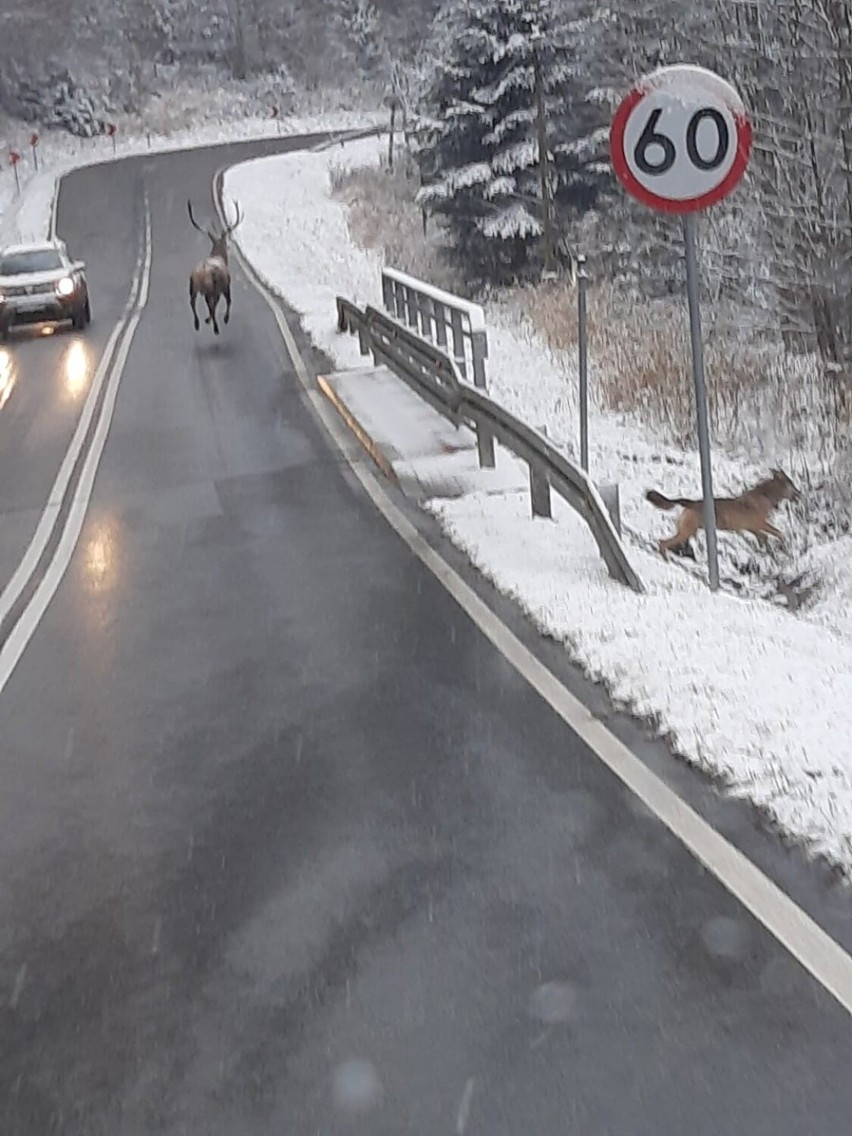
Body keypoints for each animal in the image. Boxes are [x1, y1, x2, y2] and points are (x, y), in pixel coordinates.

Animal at [185, 199, 241, 333]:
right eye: (225, 242)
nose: (228, 247)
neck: (219, 256)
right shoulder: (224, 286)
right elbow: (227, 301)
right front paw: (223, 319)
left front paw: (207, 319)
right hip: (213, 288)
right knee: (214, 305)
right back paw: (216, 327)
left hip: (193, 287)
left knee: (192, 302)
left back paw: (197, 323)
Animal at [649, 465, 804, 558]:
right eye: (791, 483)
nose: (800, 493)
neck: (766, 496)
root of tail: (689, 503)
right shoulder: (760, 524)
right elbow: (779, 533)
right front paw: (783, 546)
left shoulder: (753, 528)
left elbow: (764, 539)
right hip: (687, 531)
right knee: (663, 543)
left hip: (687, 531)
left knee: (663, 542)